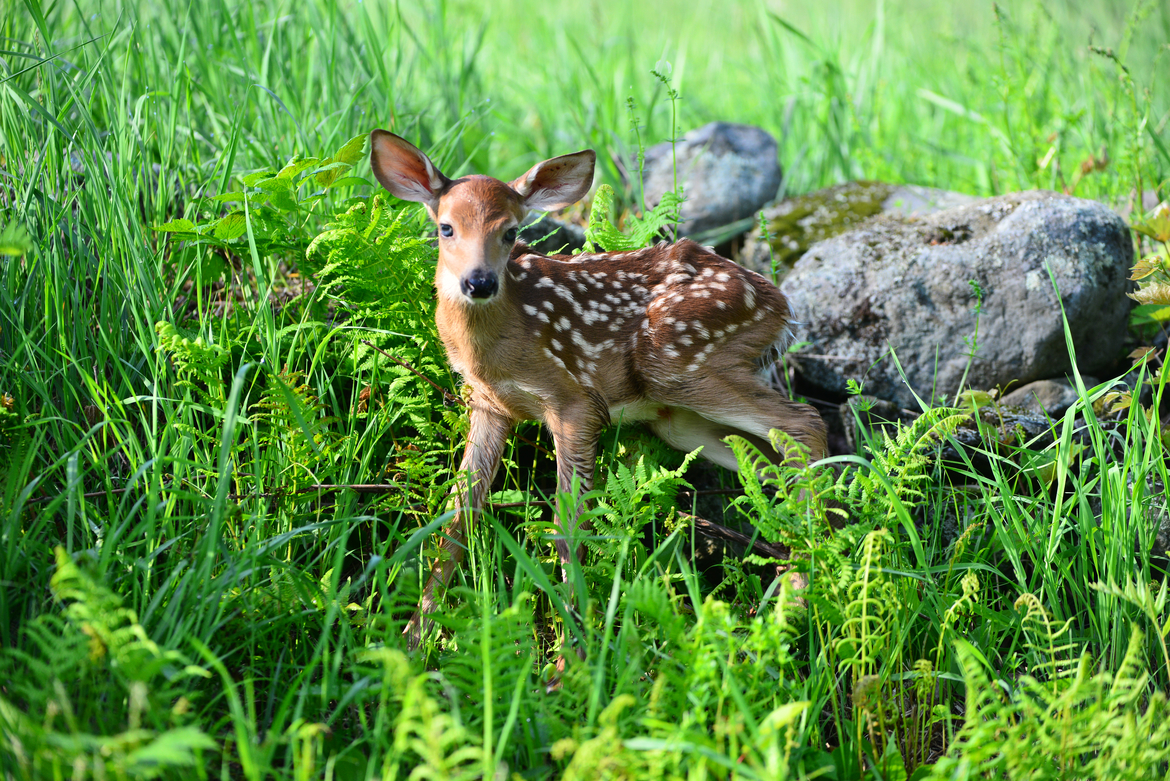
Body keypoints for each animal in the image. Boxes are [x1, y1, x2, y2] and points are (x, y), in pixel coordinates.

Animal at [368, 130, 827, 648]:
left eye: (510, 232)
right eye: (445, 228)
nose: (479, 282)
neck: (501, 344)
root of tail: (779, 301)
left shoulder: (576, 402)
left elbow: (568, 527)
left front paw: (572, 651)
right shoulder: (488, 405)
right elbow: (456, 517)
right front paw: (414, 638)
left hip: (677, 358)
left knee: (804, 422)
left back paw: (810, 582)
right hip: (679, 418)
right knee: (770, 458)